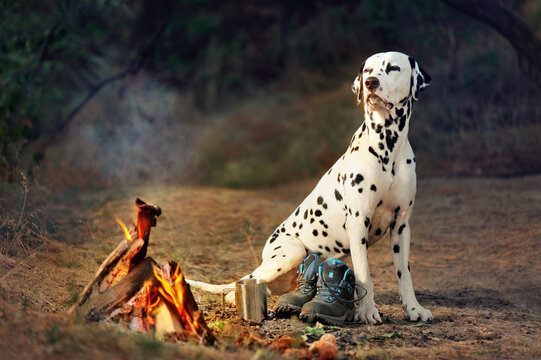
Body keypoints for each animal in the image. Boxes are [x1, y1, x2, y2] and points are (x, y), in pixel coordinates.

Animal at [188, 52, 432, 324]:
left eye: (393, 68)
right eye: (367, 70)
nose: (370, 83)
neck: (387, 148)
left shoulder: (401, 225)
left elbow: (405, 275)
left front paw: (414, 308)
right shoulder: (359, 222)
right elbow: (364, 275)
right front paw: (367, 311)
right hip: (289, 253)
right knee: (242, 285)